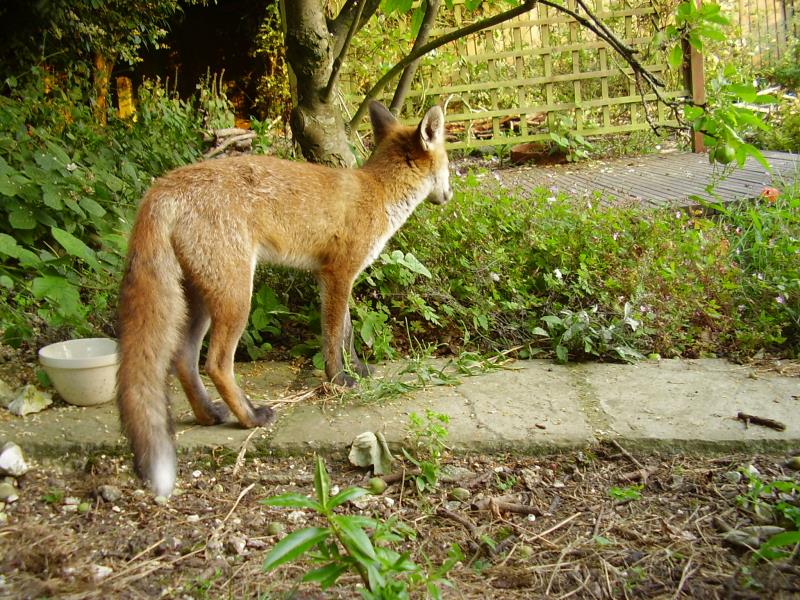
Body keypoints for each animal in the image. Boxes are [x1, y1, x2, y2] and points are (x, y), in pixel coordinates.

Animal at [116, 103, 454, 496]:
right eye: (449, 165)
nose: (450, 195)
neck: (379, 192)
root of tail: (163, 185)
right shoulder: (337, 275)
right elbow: (333, 337)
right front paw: (339, 380)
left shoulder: (334, 279)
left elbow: (347, 334)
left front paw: (356, 369)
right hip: (236, 296)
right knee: (215, 363)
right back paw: (250, 418)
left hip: (200, 299)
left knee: (184, 360)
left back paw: (209, 414)